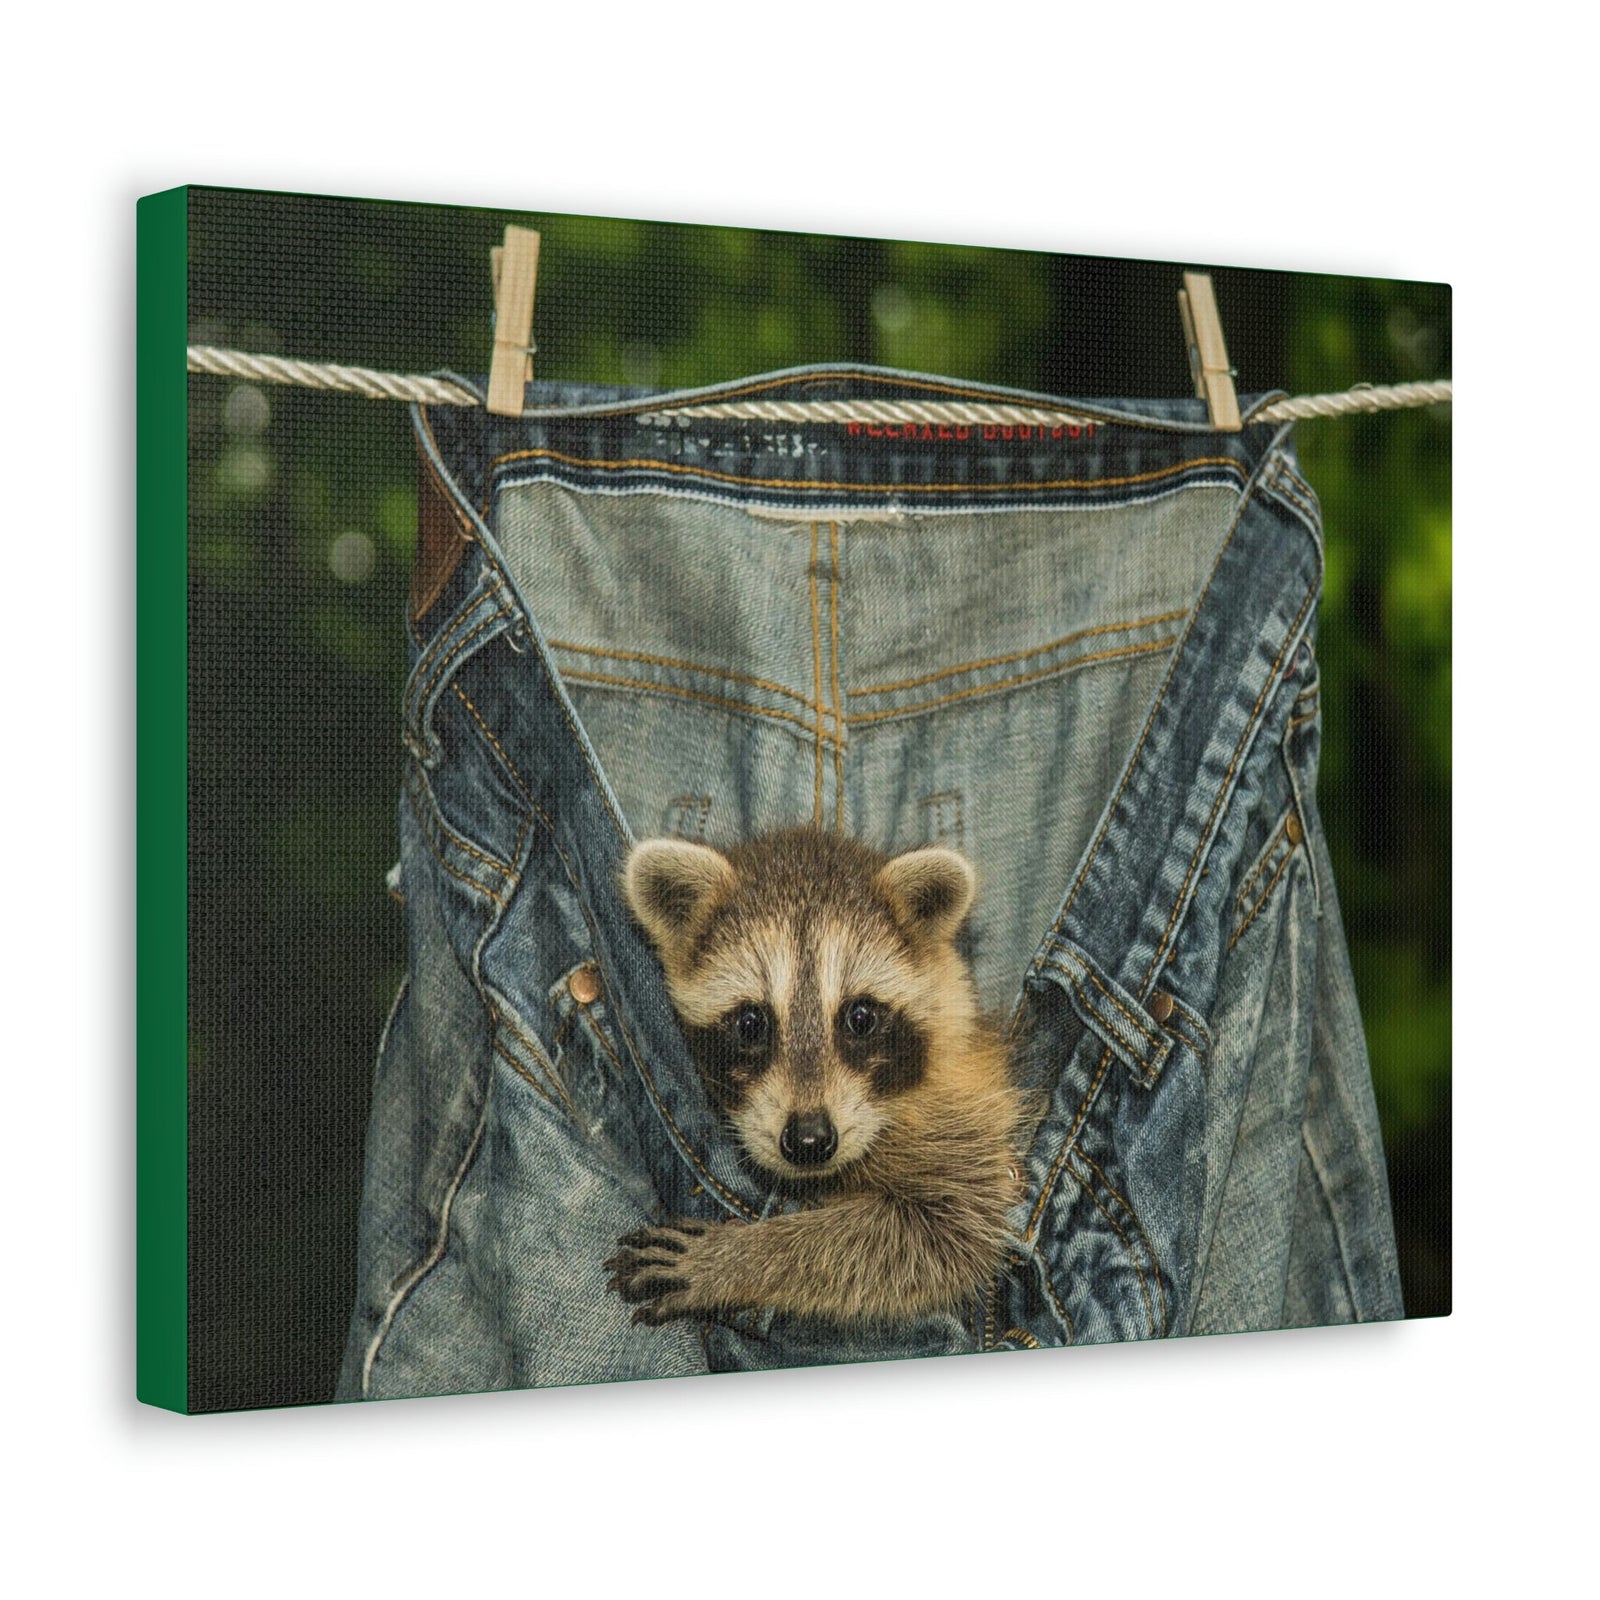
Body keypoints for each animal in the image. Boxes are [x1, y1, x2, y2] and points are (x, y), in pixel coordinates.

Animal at [606, 826, 1023, 1326]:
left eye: (860, 1018)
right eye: (751, 1023)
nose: (809, 1141)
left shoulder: (963, 1115)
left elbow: (941, 1233)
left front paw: (740, 1257)